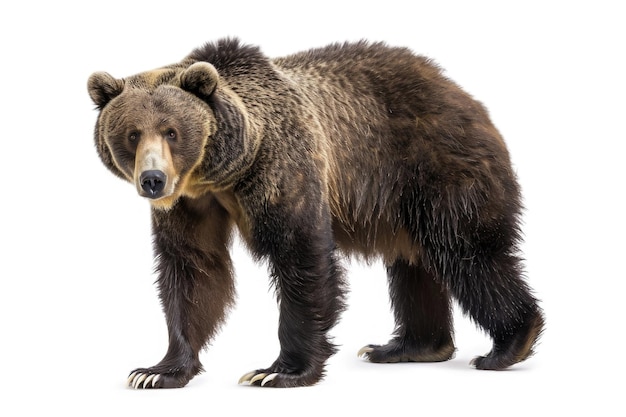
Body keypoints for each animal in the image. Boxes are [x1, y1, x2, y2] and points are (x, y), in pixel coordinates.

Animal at [86, 37, 540, 388]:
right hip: (401, 203)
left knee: (468, 252)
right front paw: (157, 371)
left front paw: (278, 371)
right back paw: (406, 347)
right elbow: (193, 269)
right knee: (413, 265)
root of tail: (463, 93)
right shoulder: (191, 204)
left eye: (172, 131)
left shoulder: (283, 166)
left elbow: (301, 255)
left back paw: (508, 345)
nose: (153, 180)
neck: (220, 173)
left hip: (435, 166)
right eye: (132, 134)